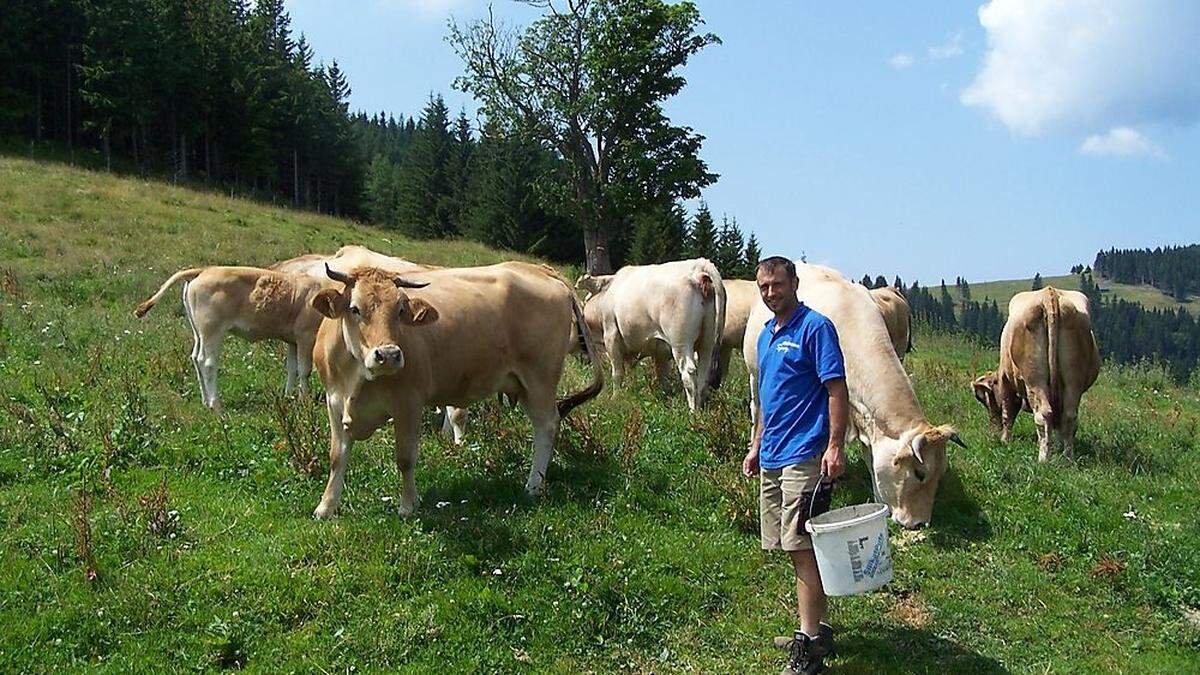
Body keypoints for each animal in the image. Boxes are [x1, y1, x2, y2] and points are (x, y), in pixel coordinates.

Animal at [307, 260, 600, 516]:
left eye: (400, 310)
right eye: (355, 309)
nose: (389, 355)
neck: (357, 377)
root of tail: (539, 269)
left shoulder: (409, 404)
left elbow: (405, 458)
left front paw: (408, 506)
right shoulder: (334, 401)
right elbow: (336, 456)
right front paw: (326, 507)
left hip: (539, 379)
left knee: (547, 426)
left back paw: (533, 485)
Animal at [576, 257, 724, 410]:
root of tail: (698, 265)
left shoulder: (611, 336)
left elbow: (617, 373)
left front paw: (615, 397)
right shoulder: (659, 352)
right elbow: (659, 374)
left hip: (681, 343)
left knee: (688, 374)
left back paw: (693, 411)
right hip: (707, 342)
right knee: (703, 375)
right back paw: (700, 408)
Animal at [739, 260, 964, 528]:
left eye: (940, 474)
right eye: (920, 473)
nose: (920, 523)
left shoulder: (864, 417)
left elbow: (870, 457)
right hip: (755, 376)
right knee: (757, 411)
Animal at [969, 283, 1099, 461]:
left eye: (984, 399)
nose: (993, 428)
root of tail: (1049, 294)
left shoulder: (1006, 381)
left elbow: (1008, 413)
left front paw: (1005, 440)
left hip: (1035, 378)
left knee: (1043, 414)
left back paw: (1043, 459)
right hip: (1073, 379)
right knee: (1068, 416)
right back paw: (1067, 457)